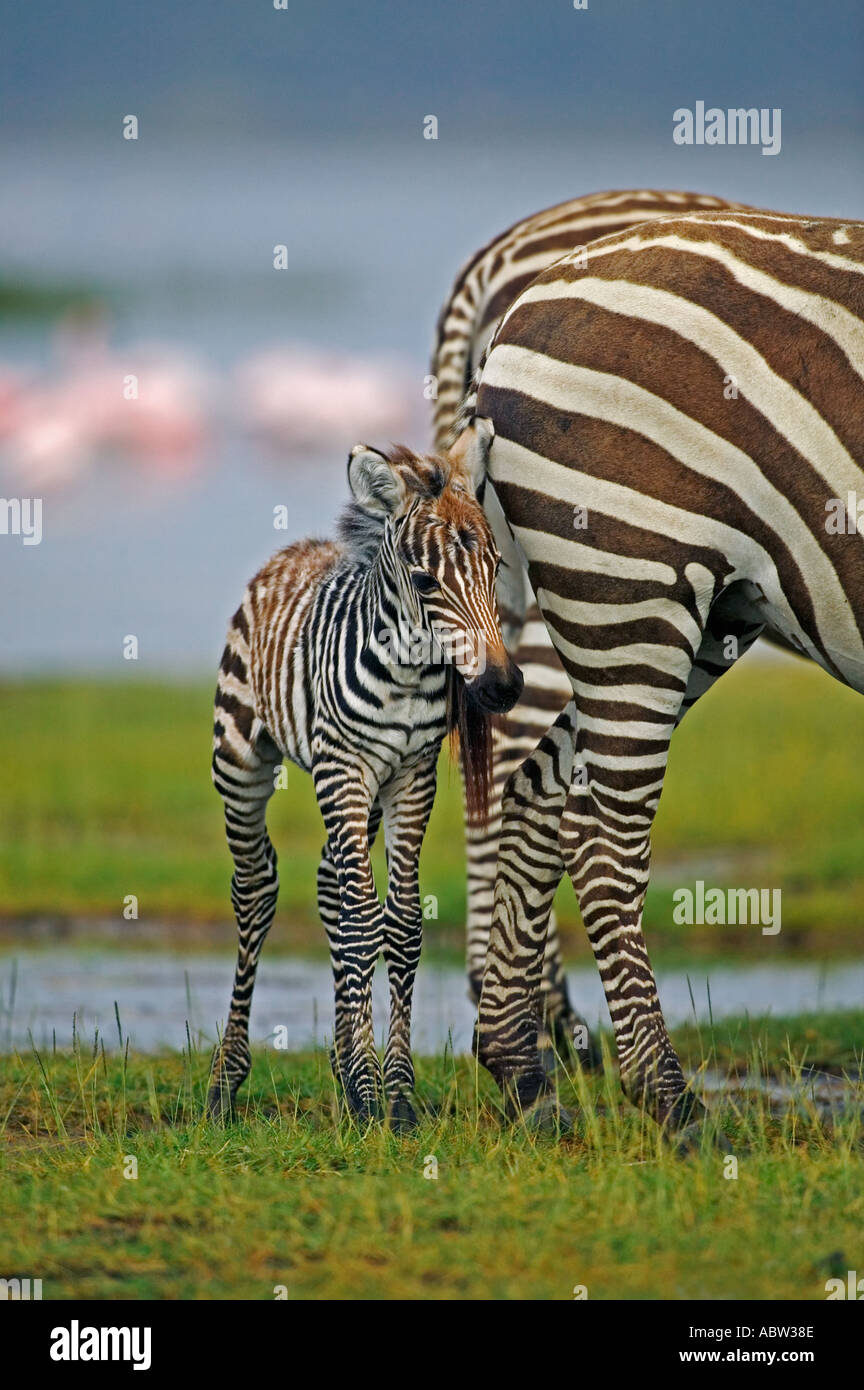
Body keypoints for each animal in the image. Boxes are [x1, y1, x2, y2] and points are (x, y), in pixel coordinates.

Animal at [207, 424, 522, 1126]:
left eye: (495, 567)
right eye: (426, 582)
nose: (501, 685)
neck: (405, 671)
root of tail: (299, 548)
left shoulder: (412, 777)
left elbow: (398, 924)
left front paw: (393, 1093)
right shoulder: (344, 768)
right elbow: (360, 923)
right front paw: (370, 1094)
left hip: (365, 791)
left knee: (329, 884)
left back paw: (340, 1063)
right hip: (243, 761)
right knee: (256, 889)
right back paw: (224, 1082)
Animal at [460, 208, 864, 1137]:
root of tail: (527, 295)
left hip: (692, 615)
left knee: (540, 790)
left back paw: (522, 1072)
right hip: (632, 581)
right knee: (601, 836)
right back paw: (669, 1102)